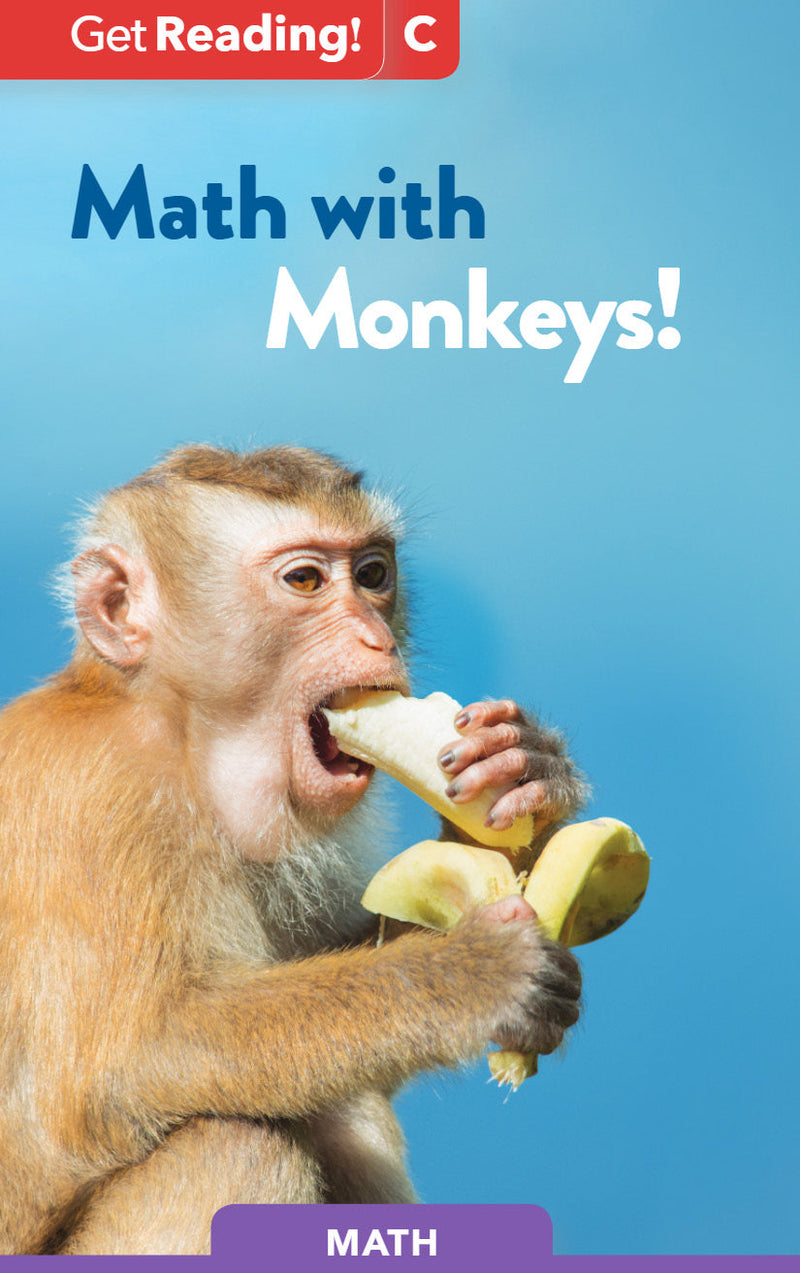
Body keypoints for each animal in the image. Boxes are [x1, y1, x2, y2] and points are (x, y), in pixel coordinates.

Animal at [0, 444, 588, 1255]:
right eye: (305, 581)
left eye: (373, 574)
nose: (378, 639)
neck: (176, 727)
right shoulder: (100, 797)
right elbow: (126, 1060)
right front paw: (468, 976)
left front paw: (518, 768)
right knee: (231, 1146)